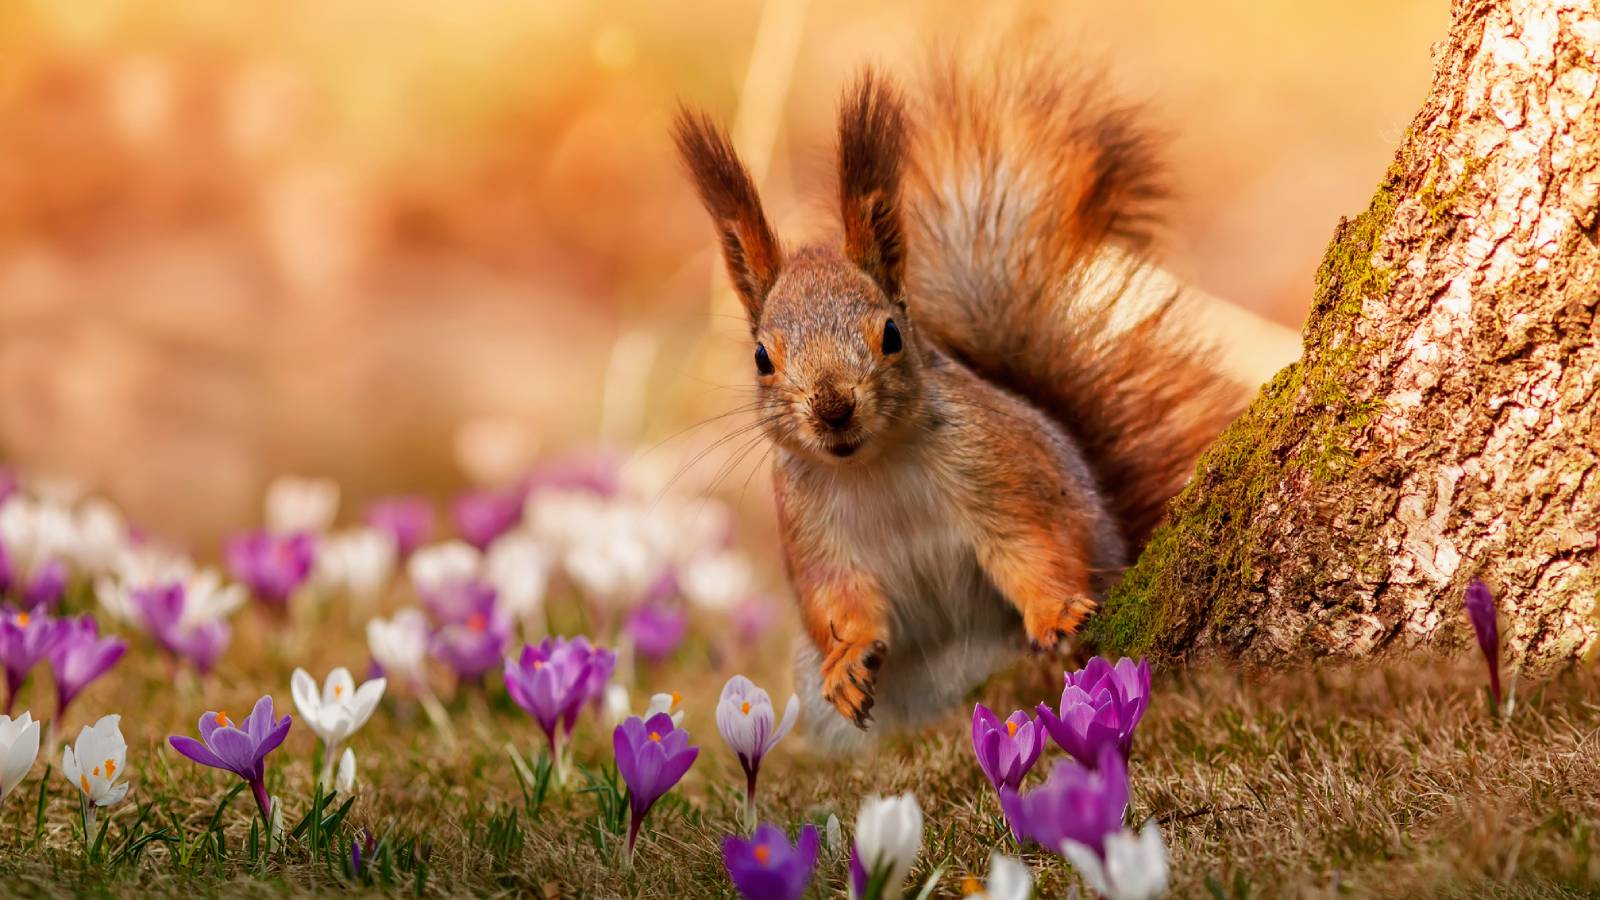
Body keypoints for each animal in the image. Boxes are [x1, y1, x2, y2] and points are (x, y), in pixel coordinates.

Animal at [674, 49, 1244, 750]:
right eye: (761, 358)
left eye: (892, 334)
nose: (833, 407)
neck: (873, 465)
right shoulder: (808, 525)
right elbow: (836, 598)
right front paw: (848, 660)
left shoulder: (998, 466)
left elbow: (1034, 544)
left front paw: (1055, 612)